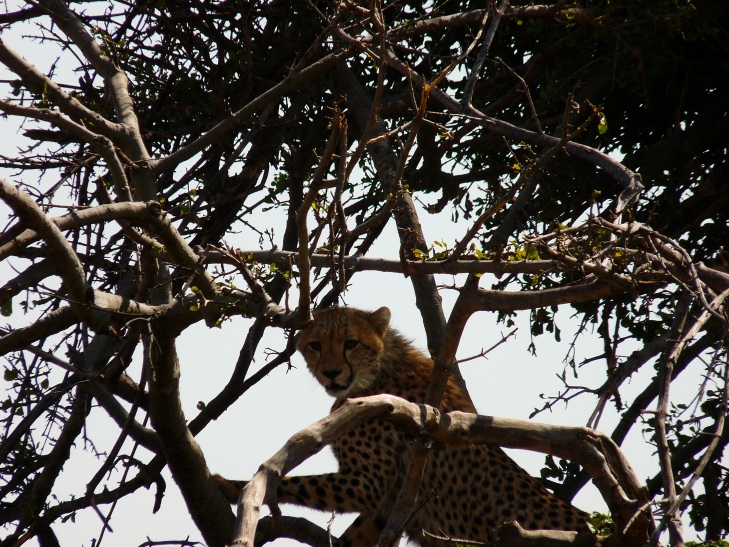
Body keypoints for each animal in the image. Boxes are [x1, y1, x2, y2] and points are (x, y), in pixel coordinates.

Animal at [216, 306, 591, 546]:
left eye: (350, 343)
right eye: (315, 345)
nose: (331, 373)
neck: (378, 370)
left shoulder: (367, 483)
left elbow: (297, 483)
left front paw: (231, 486)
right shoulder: (389, 503)